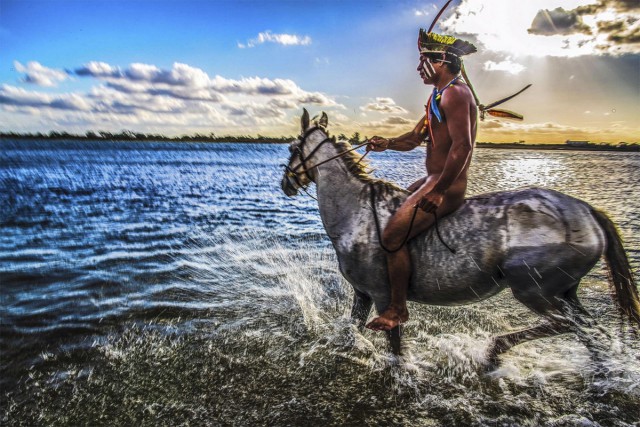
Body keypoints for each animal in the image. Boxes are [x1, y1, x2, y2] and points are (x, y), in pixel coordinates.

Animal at [282, 110, 640, 364]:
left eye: (292, 147)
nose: (285, 183)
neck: (356, 213)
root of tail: (587, 210)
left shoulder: (383, 297)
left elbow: (395, 346)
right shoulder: (362, 293)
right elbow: (350, 329)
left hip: (535, 290)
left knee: (573, 325)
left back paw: (496, 348)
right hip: (566, 292)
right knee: (589, 328)